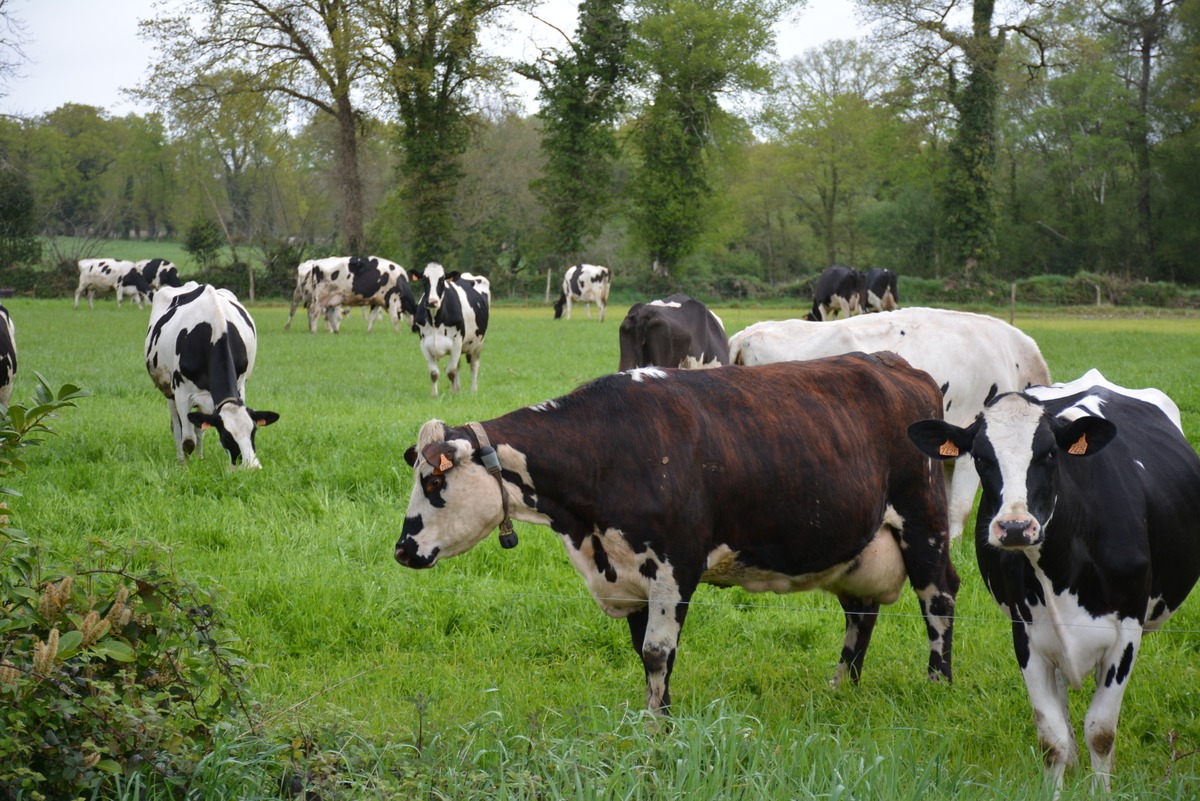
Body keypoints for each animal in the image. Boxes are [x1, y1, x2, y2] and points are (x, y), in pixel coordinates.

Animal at [144, 282, 279, 469]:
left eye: (253, 431)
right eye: (227, 436)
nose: (252, 467)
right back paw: (180, 459)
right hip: (169, 392)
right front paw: (186, 468)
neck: (215, 332)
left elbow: (199, 430)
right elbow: (188, 441)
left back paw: (200, 458)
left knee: (199, 429)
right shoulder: (182, 393)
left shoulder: (240, 387)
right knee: (177, 427)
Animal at [396, 354, 960, 713]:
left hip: (923, 522)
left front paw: (657, 730)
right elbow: (641, 652)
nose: (402, 549)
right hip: (857, 545)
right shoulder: (627, 572)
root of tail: (895, 364)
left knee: (939, 598)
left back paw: (937, 688)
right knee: (860, 613)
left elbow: (657, 652)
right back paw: (840, 689)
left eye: (434, 481)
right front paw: (654, 716)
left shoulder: (674, 566)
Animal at [409, 262, 491, 397]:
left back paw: (473, 390)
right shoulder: (424, 343)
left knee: (474, 366)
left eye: (442, 280)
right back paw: (458, 388)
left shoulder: (456, 342)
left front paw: (452, 393)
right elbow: (434, 373)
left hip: (479, 344)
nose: (432, 301)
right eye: (424, 280)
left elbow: (451, 371)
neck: (435, 322)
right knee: (458, 366)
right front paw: (435, 394)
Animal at [908, 374, 1200, 790]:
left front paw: (1102, 792)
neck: (1062, 569)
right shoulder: (1027, 634)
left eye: (1048, 454)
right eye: (981, 457)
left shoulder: (1127, 633)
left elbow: (1101, 730)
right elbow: (1052, 737)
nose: (1015, 527)